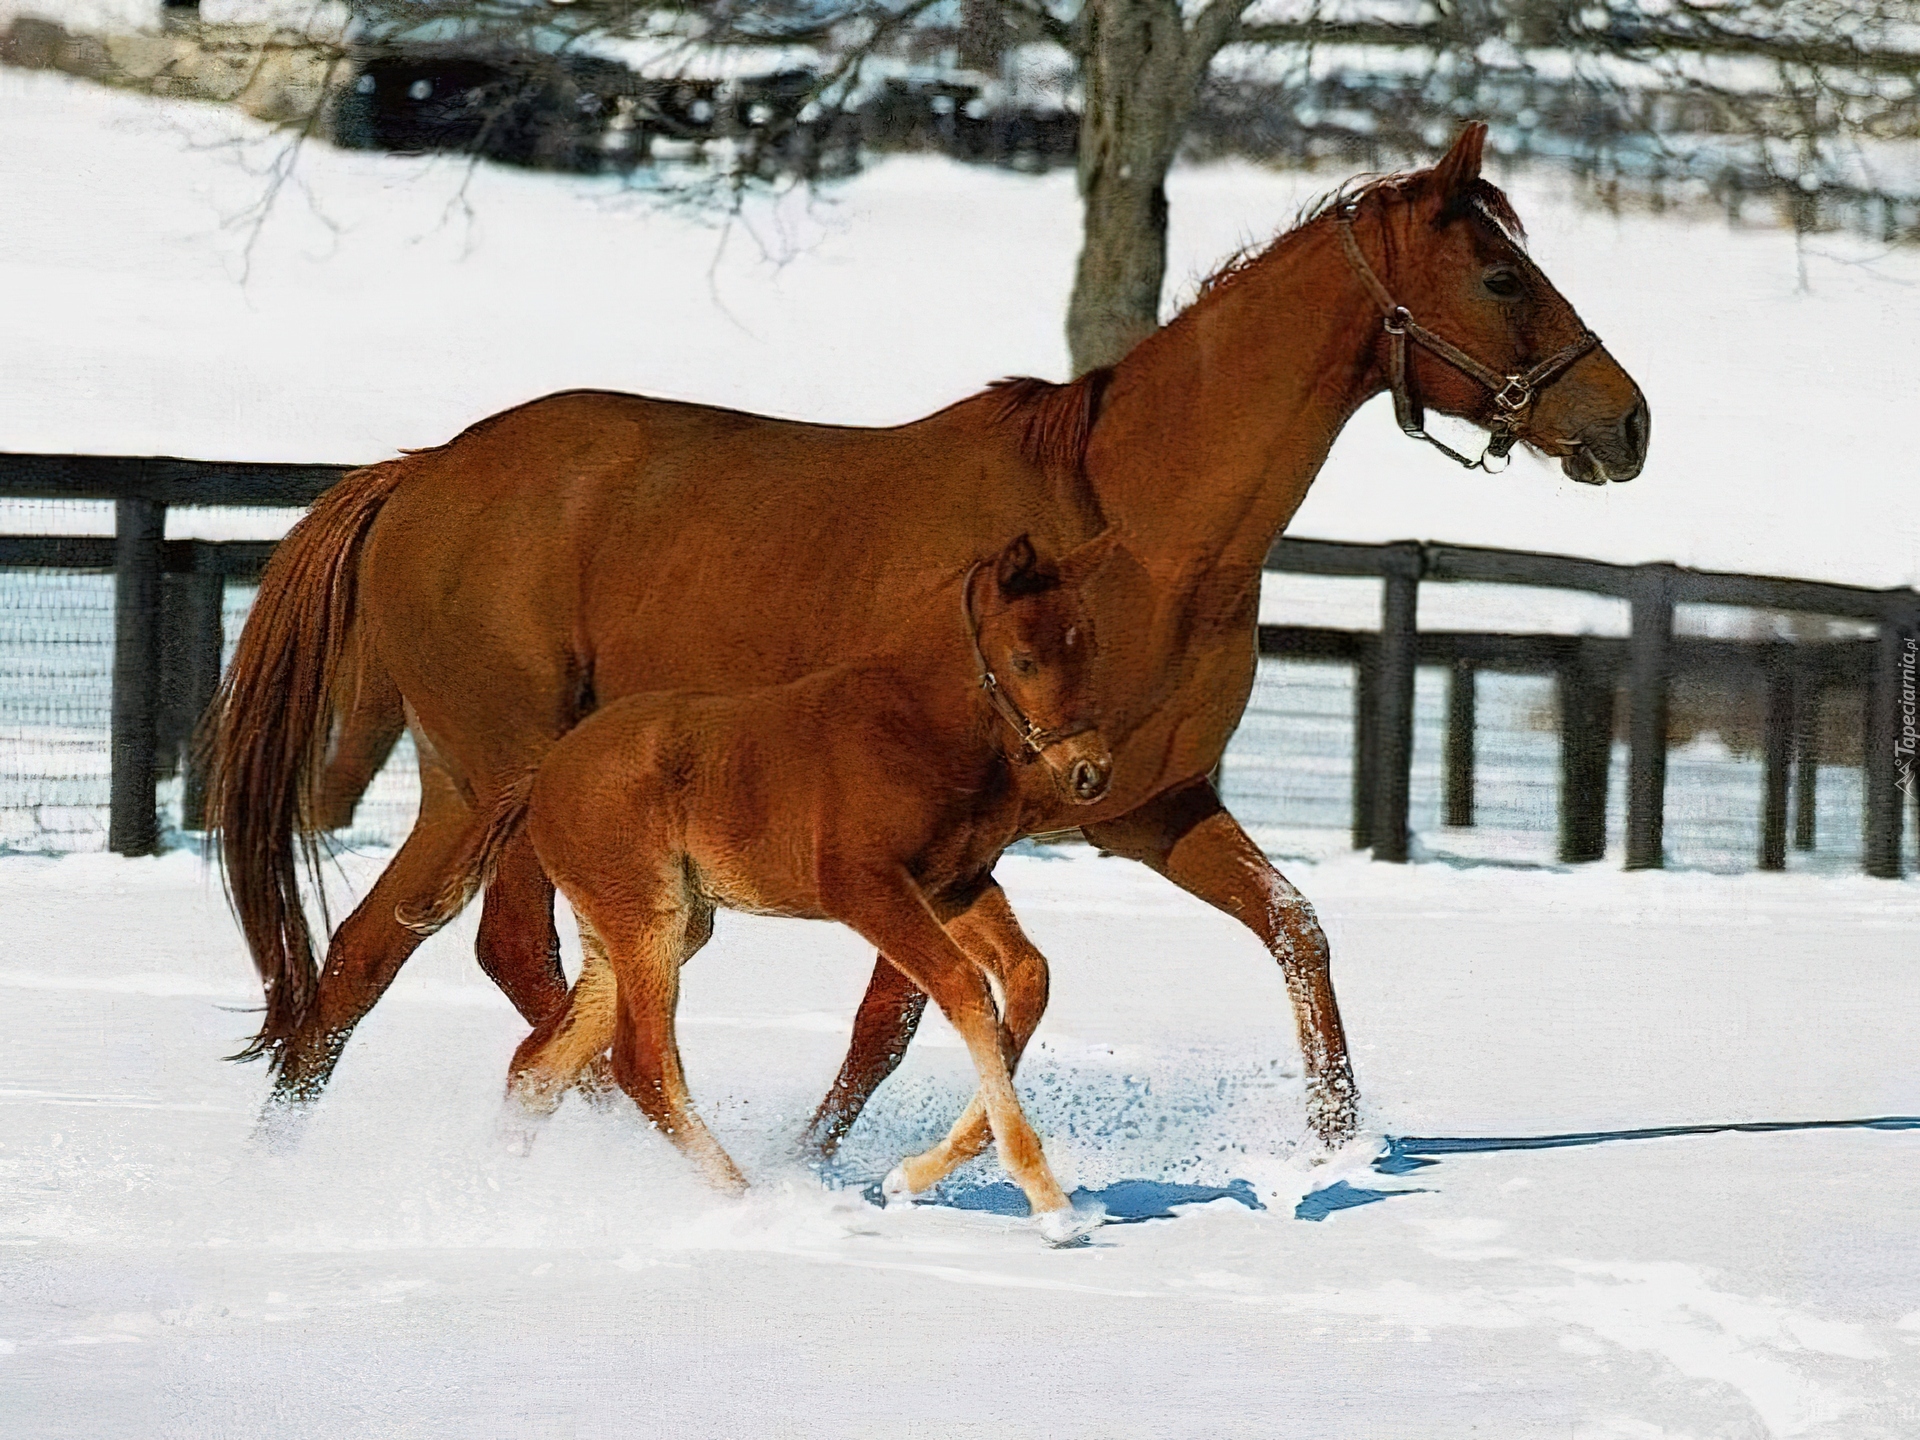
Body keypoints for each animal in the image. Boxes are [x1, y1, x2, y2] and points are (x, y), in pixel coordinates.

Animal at [214, 129, 1651, 1159]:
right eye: (1503, 274)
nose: (1626, 421)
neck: (1131, 533)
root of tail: (419, 471)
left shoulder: (1146, 808)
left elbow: (1296, 934)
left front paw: (1339, 1150)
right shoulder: (938, 838)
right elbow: (899, 1014)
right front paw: (816, 1161)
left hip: (464, 789)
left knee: (361, 965)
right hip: (514, 778)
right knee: (520, 966)